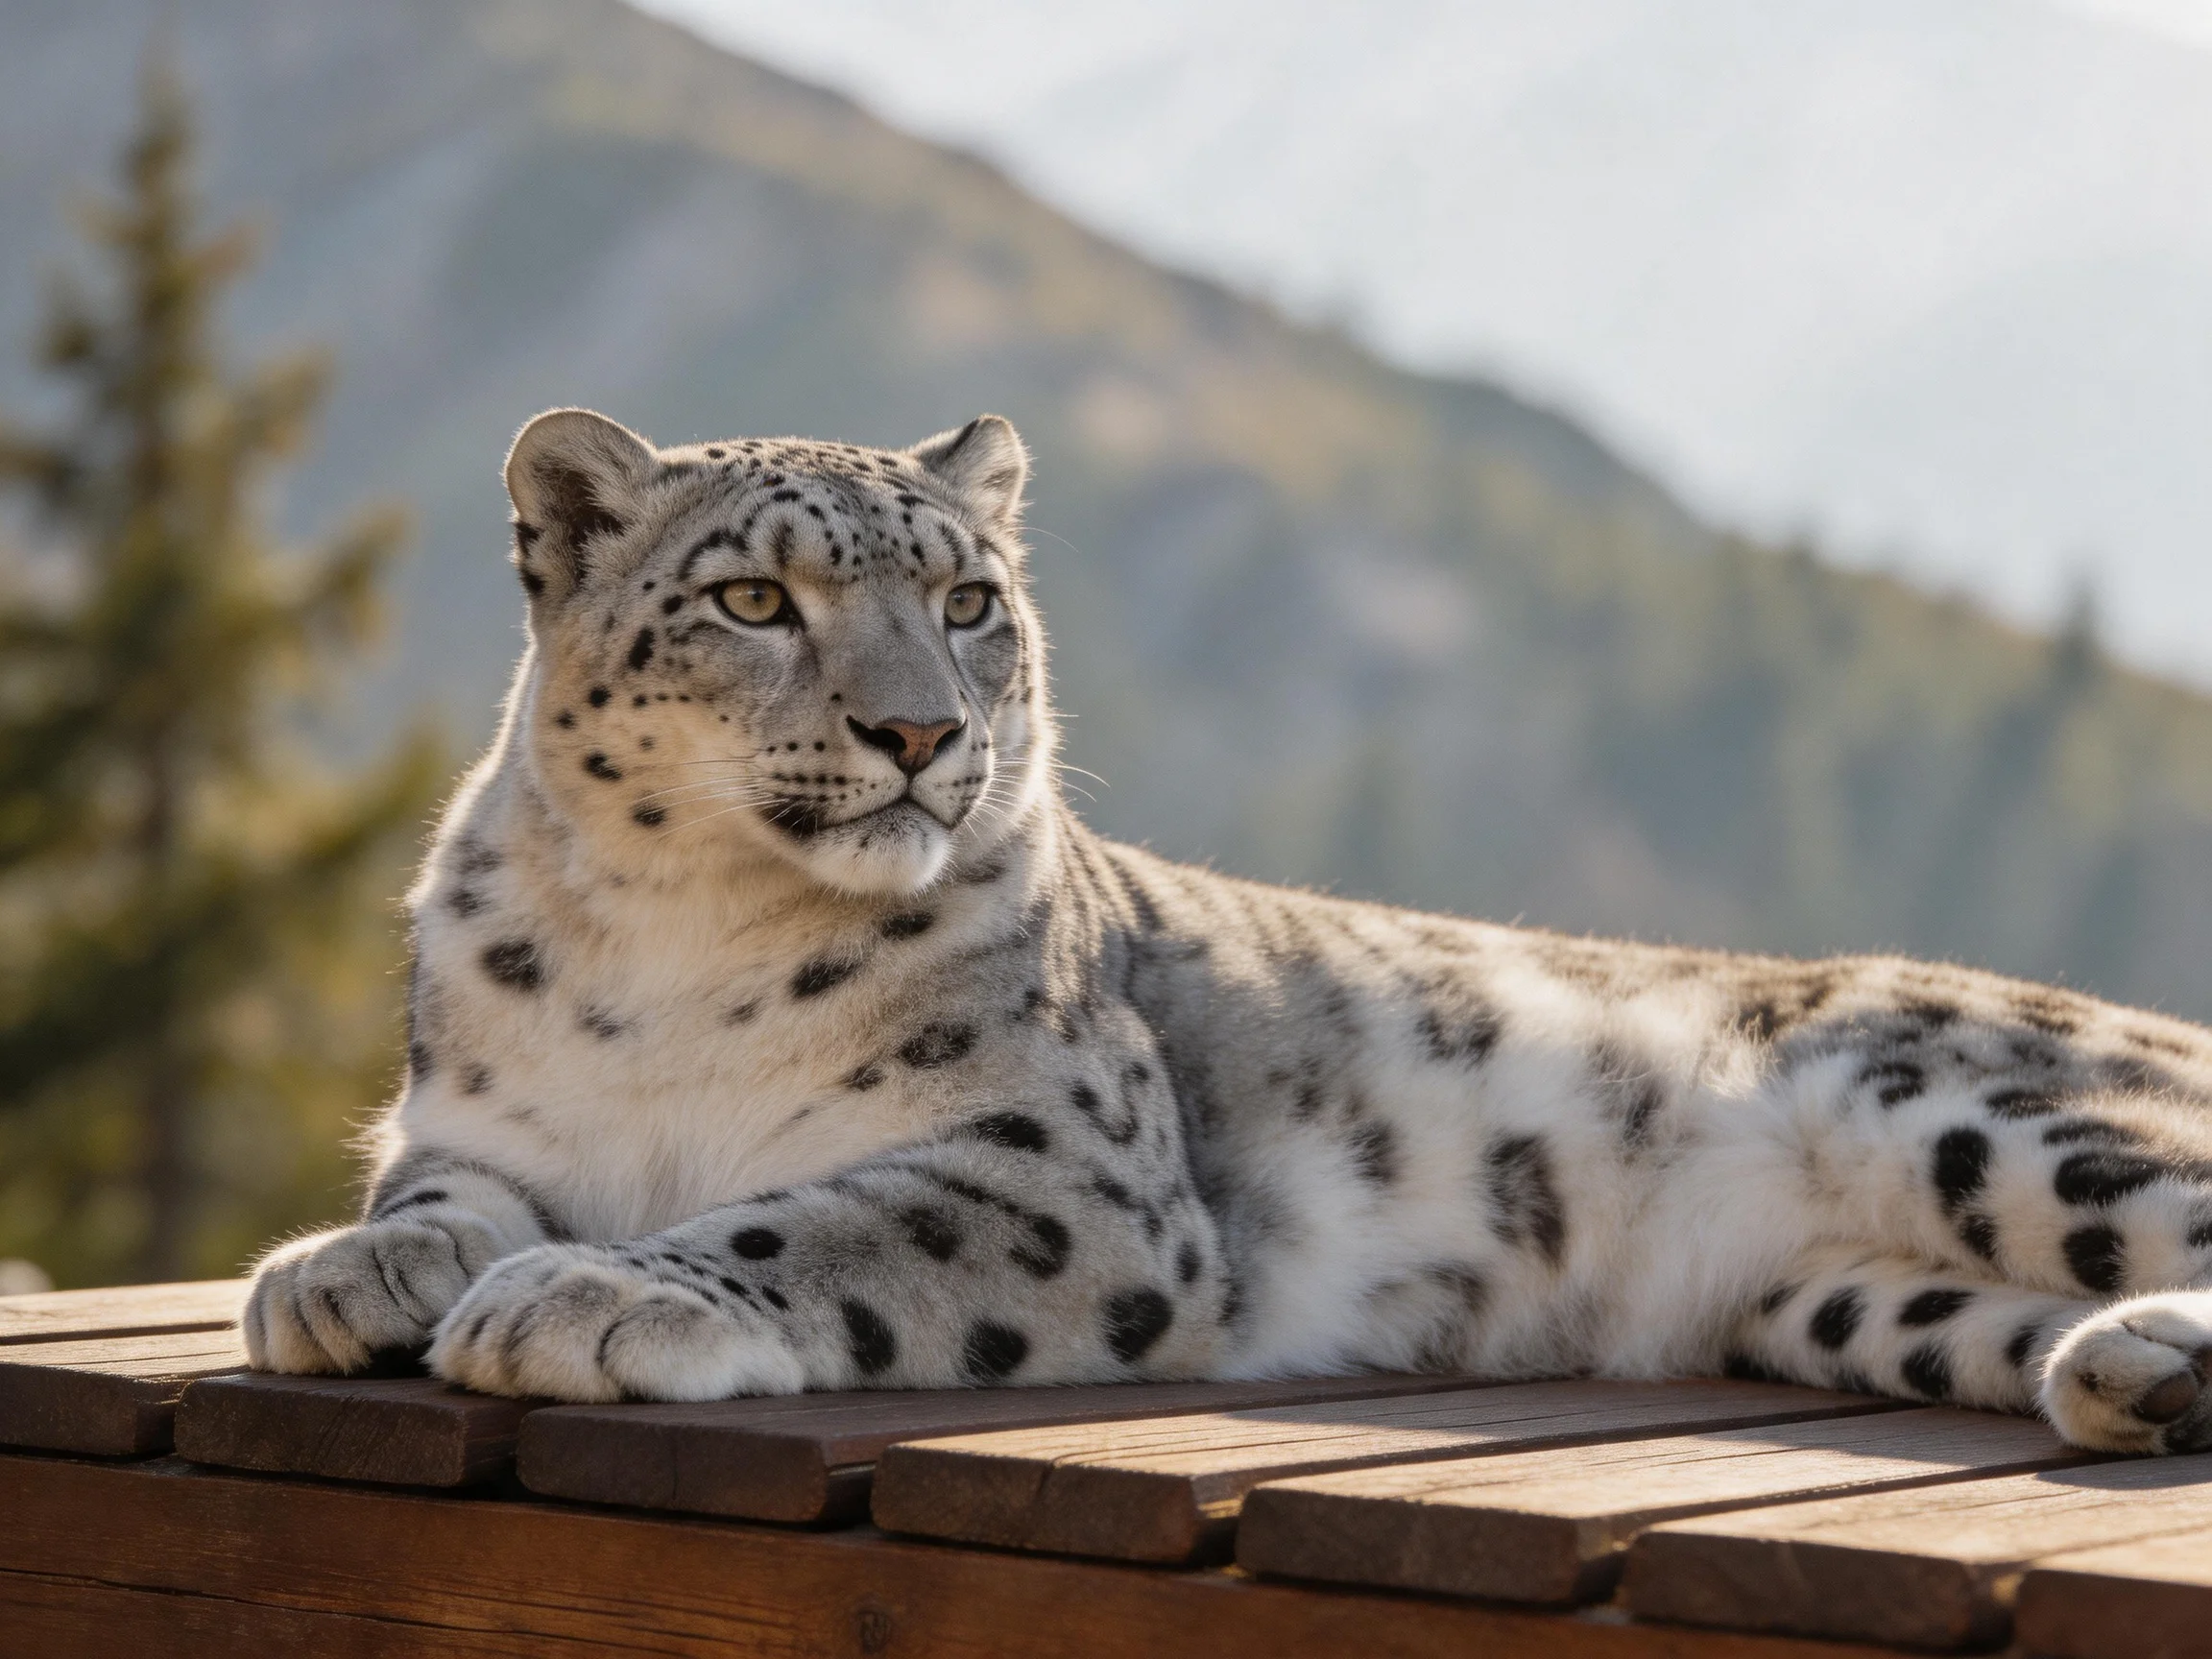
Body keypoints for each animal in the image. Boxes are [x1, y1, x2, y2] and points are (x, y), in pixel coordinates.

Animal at [245, 406, 2212, 1454]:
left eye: (969, 601)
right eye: (750, 600)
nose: (920, 733)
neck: (674, 950)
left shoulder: (1064, 1175)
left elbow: (812, 1222)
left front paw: (589, 1291)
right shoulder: (479, 1119)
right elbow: (434, 1196)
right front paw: (341, 1277)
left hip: (1977, 1114)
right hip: (1847, 1299)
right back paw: (2137, 1373)